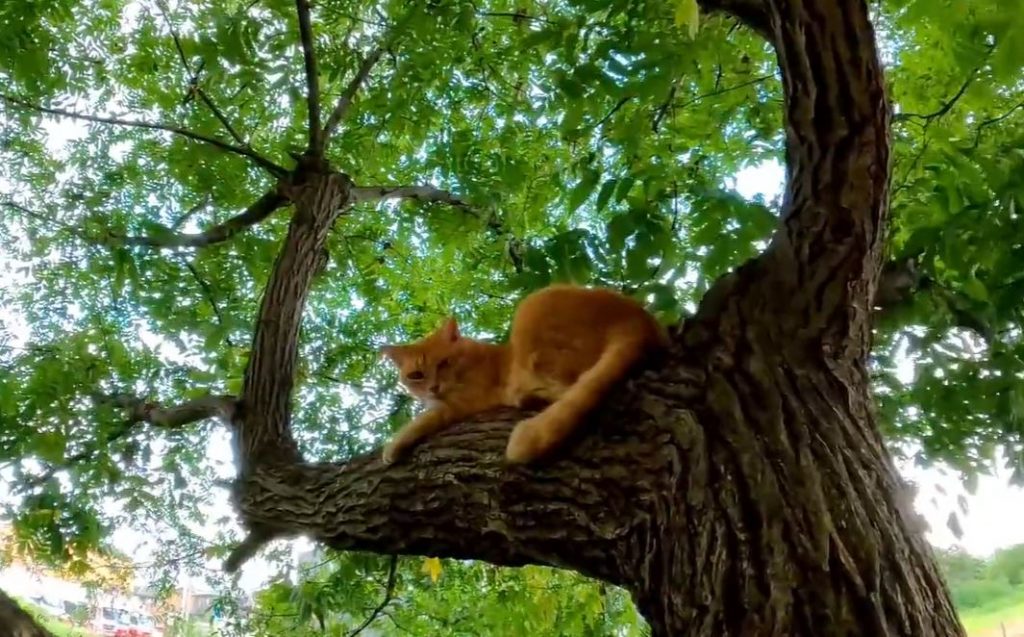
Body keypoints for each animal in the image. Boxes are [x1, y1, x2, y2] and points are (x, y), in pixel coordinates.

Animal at [380, 284, 667, 464]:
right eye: (416, 375)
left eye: (444, 363)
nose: (433, 388)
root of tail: (637, 320)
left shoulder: (464, 403)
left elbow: (425, 418)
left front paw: (393, 444)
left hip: (531, 308)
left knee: (570, 387)